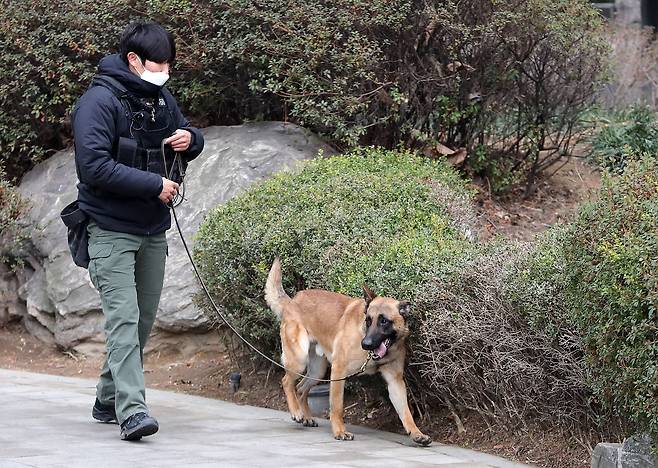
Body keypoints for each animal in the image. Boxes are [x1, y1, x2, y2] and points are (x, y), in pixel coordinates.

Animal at [264, 260, 434, 446]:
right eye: (368, 320)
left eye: (384, 321)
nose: (366, 344)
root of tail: (292, 301)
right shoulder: (339, 372)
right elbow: (337, 407)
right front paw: (339, 432)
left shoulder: (395, 381)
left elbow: (406, 412)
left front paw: (416, 433)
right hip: (300, 360)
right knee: (287, 382)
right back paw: (296, 412)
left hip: (318, 371)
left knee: (301, 388)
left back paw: (307, 417)